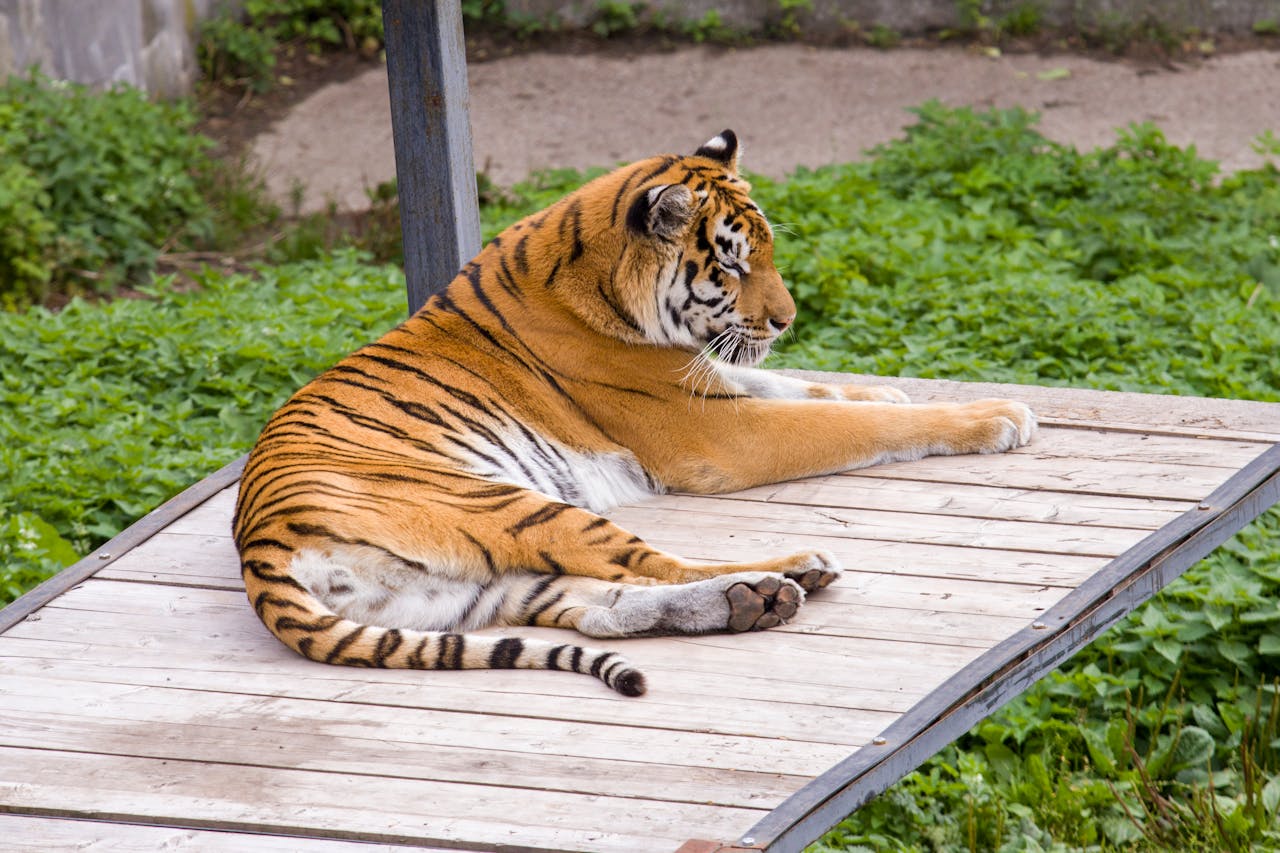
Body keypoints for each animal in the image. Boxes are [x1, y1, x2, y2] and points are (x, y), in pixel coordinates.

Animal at [232, 130, 1036, 696]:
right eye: (734, 264)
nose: (787, 320)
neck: (590, 276)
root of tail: (260, 549)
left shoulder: (713, 382)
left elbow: (808, 389)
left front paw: (891, 391)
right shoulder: (714, 430)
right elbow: (847, 424)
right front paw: (999, 415)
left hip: (476, 590)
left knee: (602, 604)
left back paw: (751, 601)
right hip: (508, 504)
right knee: (654, 565)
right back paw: (793, 570)